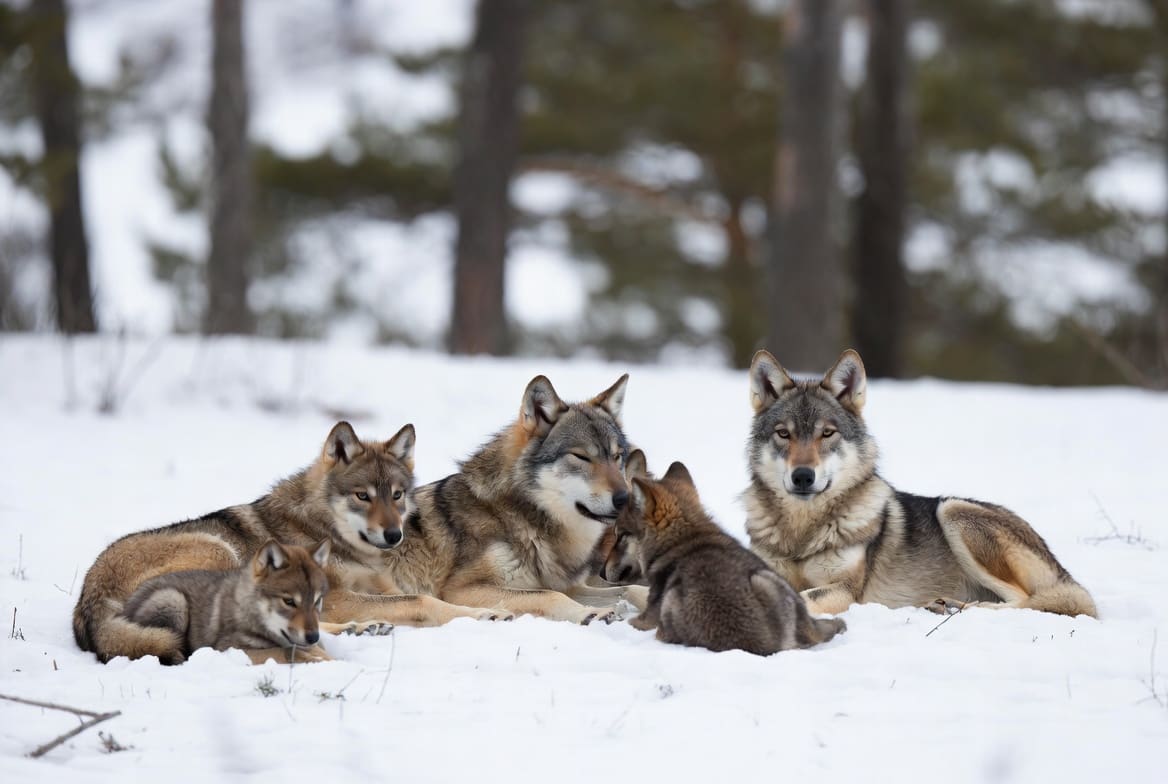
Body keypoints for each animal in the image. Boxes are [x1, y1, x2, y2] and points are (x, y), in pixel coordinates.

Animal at [118, 540, 335, 665]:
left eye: (317, 601)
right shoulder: (228, 648)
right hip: (173, 600)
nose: (313, 636)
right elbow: (286, 651)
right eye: (289, 601)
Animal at [382, 374, 640, 623]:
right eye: (581, 457)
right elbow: (550, 595)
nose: (626, 499)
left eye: (617, 456)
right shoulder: (461, 590)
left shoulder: (571, 586)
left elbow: (630, 588)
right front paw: (590, 613)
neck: (523, 515)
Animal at [744, 348, 1097, 618]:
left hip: (954, 511)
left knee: (1027, 601)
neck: (802, 531)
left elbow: (804, 597)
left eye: (827, 433)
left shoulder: (846, 589)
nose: (803, 476)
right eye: (783, 434)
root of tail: (1061, 569)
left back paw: (957, 607)